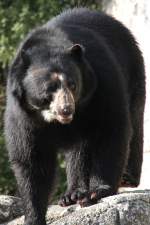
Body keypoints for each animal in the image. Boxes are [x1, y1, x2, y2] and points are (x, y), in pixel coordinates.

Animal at [4, 7, 145, 225]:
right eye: (49, 89)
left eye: (73, 84)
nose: (66, 109)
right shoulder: (23, 116)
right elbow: (31, 159)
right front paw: (33, 216)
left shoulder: (102, 82)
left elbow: (111, 128)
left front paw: (98, 191)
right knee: (78, 152)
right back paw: (72, 194)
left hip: (133, 73)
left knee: (135, 121)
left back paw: (126, 179)